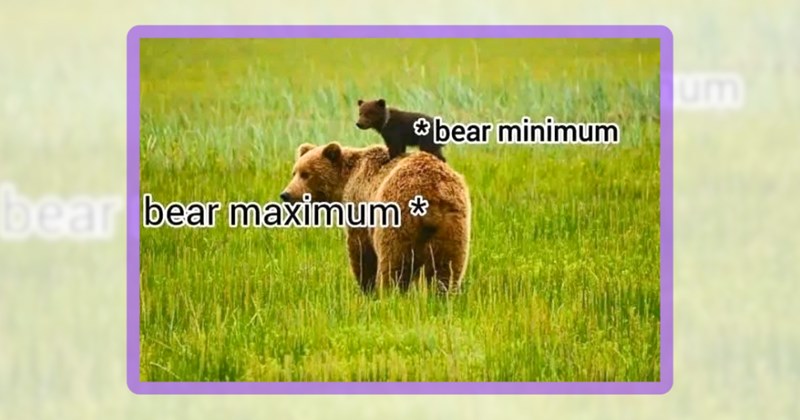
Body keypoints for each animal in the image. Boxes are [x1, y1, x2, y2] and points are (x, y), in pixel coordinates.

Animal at [280, 142, 470, 293]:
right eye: (294, 172)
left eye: (306, 174)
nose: (286, 194)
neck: (345, 182)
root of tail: (431, 192)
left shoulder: (360, 205)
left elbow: (360, 250)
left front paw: (366, 287)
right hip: (453, 224)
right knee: (447, 267)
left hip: (398, 221)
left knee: (394, 263)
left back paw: (389, 294)